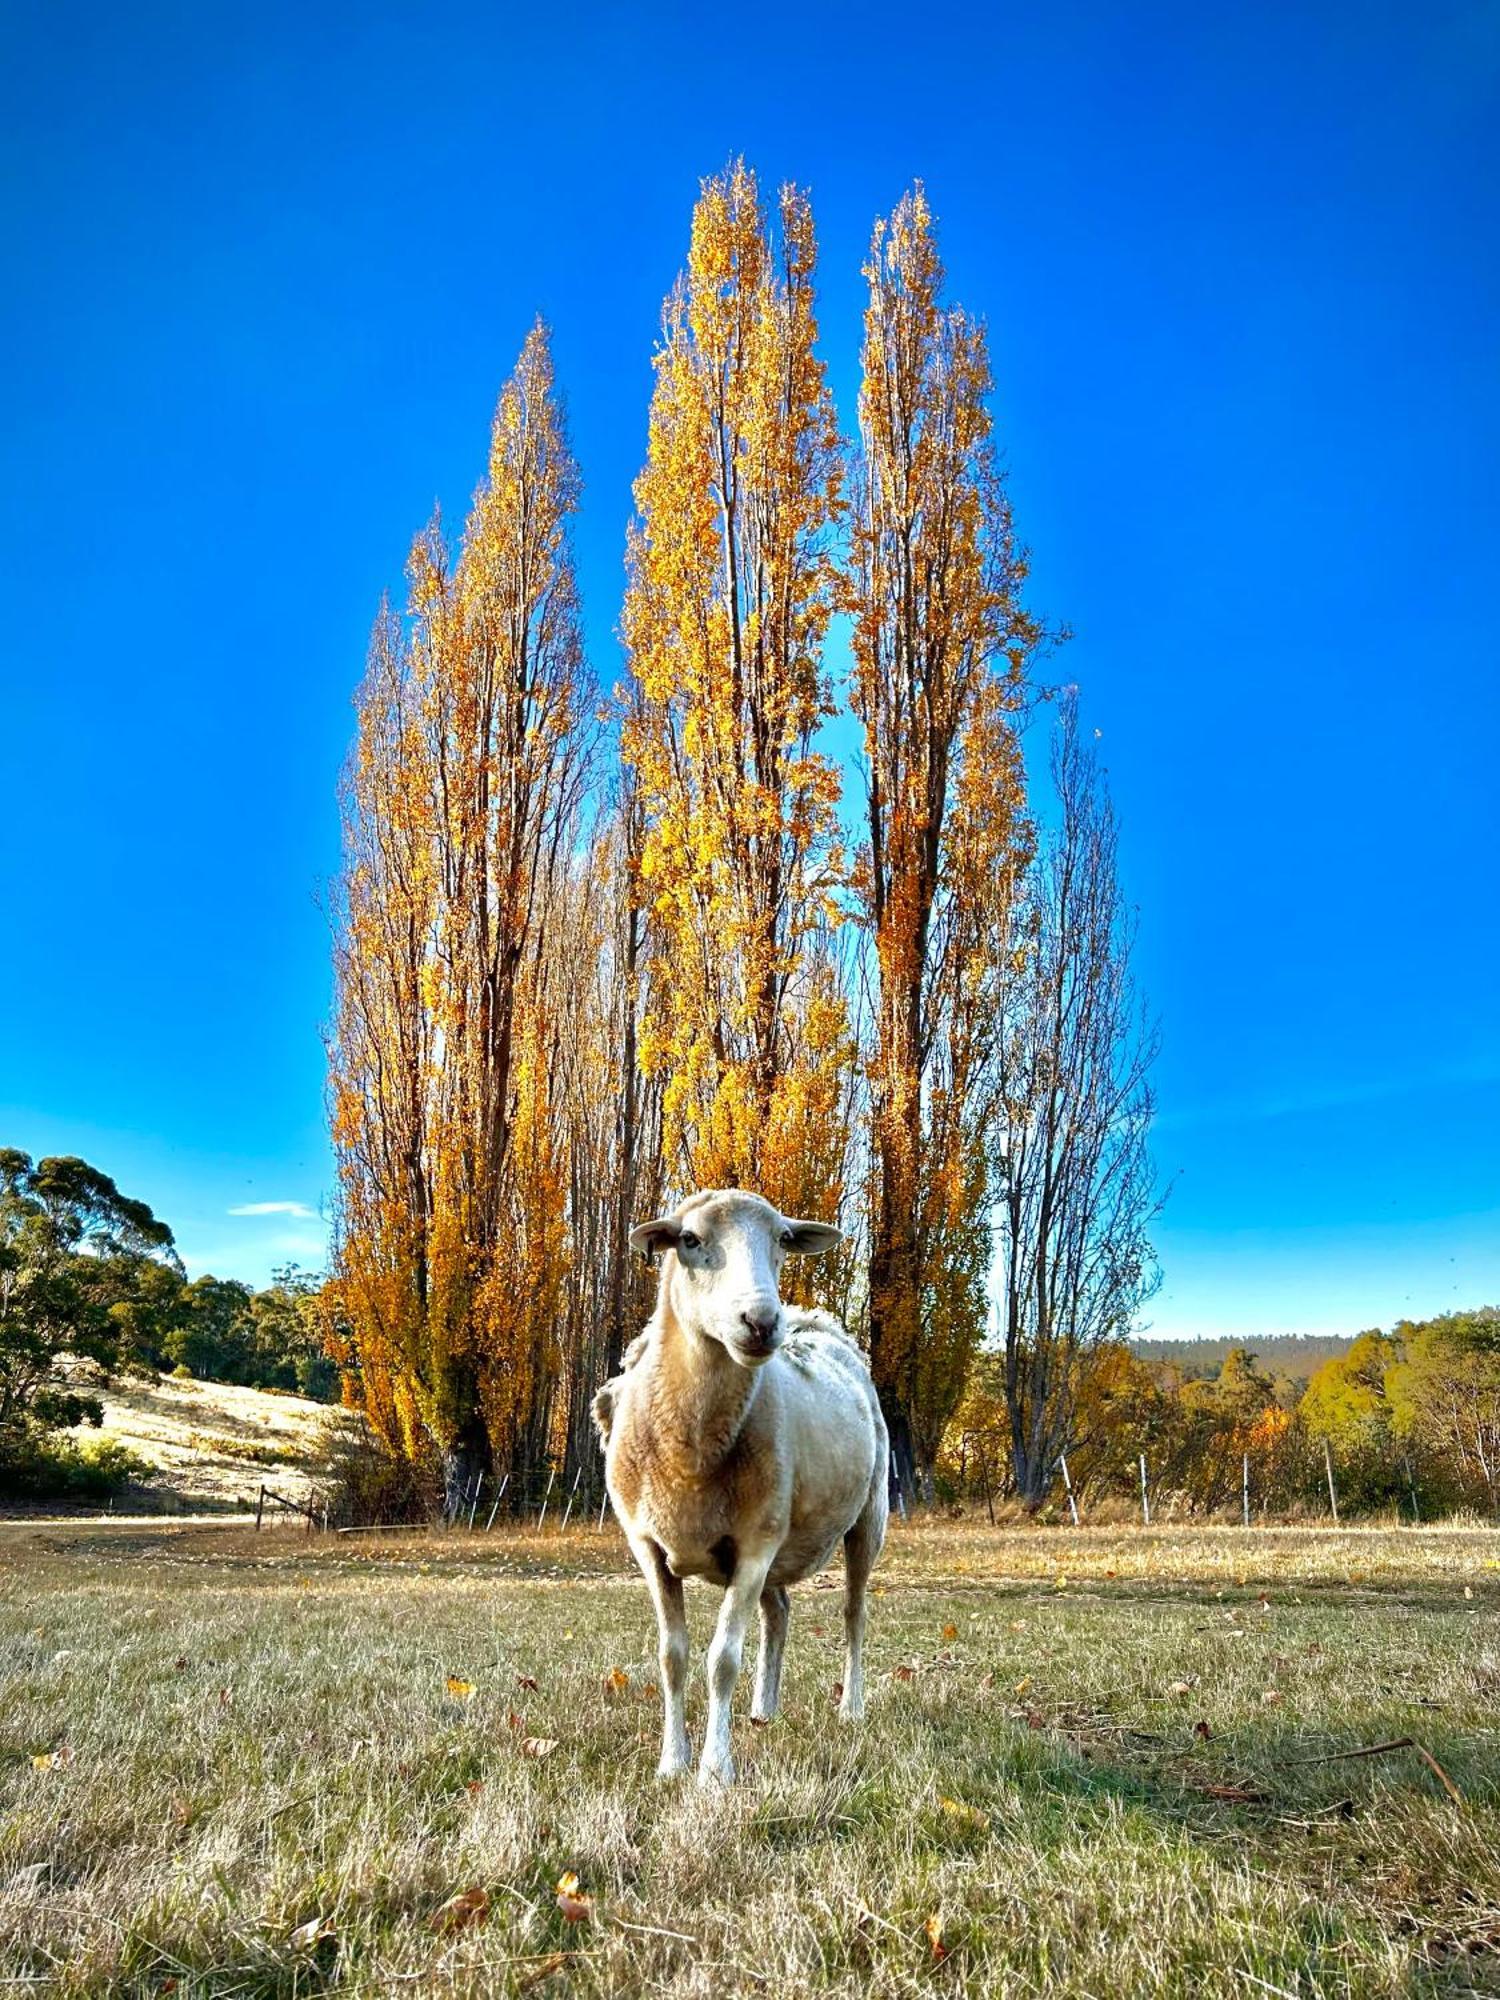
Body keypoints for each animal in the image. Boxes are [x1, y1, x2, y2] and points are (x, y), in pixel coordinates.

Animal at [592, 1184, 892, 1784]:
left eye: (782, 1239)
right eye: (688, 1239)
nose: (760, 1320)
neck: (690, 1456)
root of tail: (818, 1322)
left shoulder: (756, 1544)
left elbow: (721, 1660)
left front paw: (714, 1769)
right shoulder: (649, 1545)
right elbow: (672, 1657)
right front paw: (672, 1762)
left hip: (863, 1517)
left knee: (854, 1614)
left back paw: (850, 1708)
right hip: (779, 1530)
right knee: (779, 1613)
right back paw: (763, 1709)